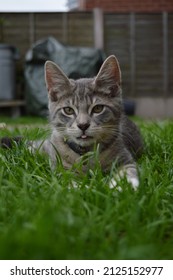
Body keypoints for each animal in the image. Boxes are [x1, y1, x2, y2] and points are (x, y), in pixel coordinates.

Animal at [31, 54, 143, 190]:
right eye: (68, 110)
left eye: (98, 108)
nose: (83, 125)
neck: (85, 153)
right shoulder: (59, 167)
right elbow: (66, 179)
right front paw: (76, 188)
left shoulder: (125, 158)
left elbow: (128, 170)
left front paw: (124, 186)